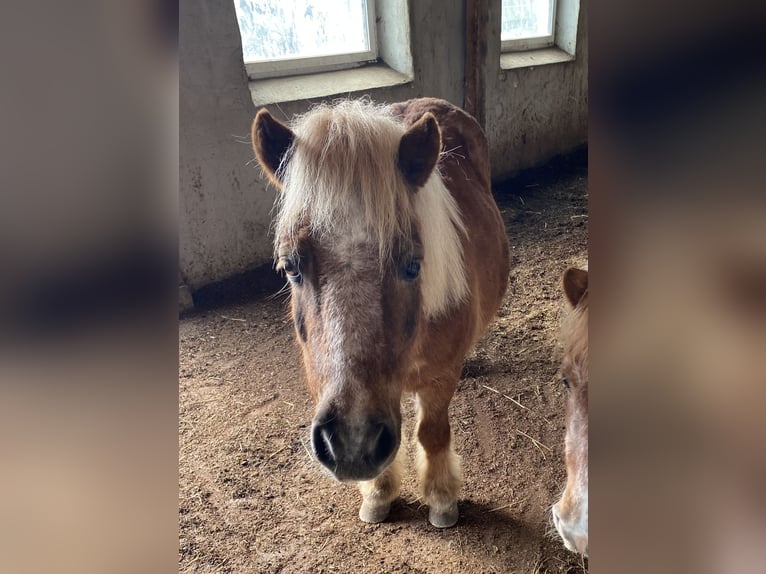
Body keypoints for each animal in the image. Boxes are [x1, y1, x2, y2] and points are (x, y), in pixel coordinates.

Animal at [250, 97, 509, 528]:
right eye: (291, 267)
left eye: (412, 266)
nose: (352, 442)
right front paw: (378, 492)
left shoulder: (439, 378)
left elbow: (431, 432)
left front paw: (442, 498)